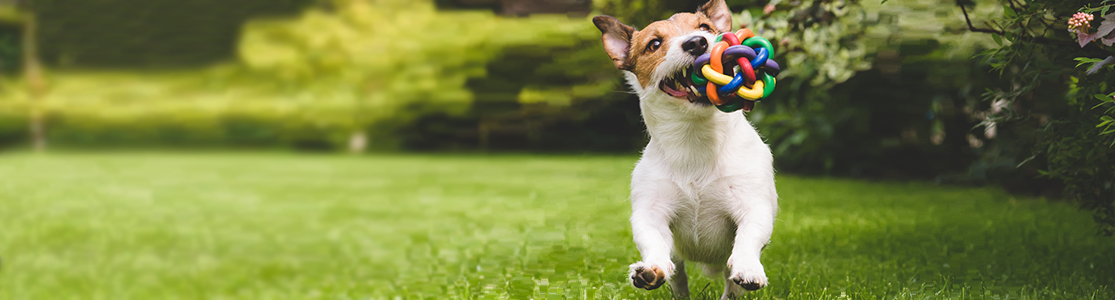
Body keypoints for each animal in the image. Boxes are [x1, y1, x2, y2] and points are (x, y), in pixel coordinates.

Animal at [588, 1, 780, 296]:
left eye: (705, 28)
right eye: (654, 44)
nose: (697, 42)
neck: (695, 138)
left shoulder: (752, 204)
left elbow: (749, 235)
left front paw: (749, 267)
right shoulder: (651, 211)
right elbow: (653, 239)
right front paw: (651, 269)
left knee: (731, 288)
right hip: (678, 262)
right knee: (678, 278)